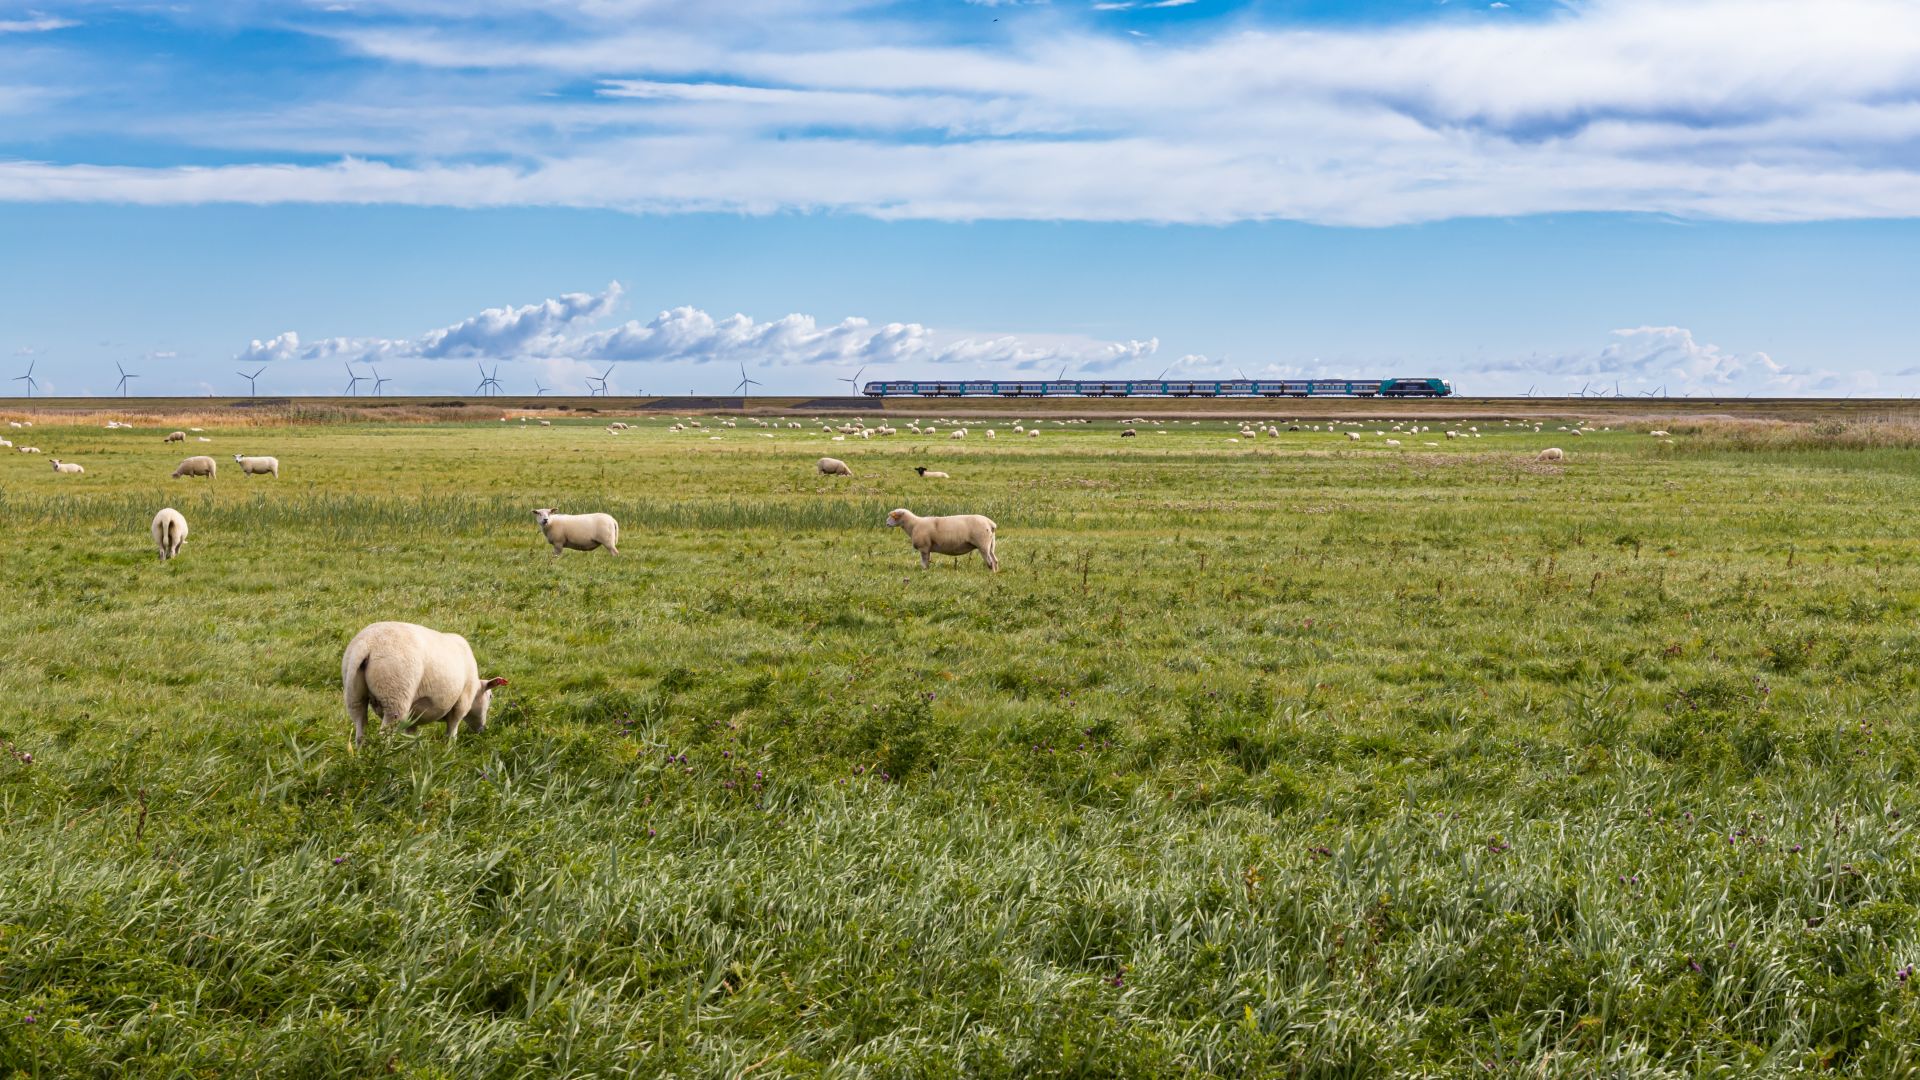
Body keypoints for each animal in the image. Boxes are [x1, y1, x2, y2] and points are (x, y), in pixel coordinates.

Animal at [343, 618, 510, 745]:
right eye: (490, 696)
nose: (482, 730)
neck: (475, 689)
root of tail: (368, 644)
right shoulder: (461, 704)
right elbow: (452, 732)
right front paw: (449, 752)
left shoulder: (413, 718)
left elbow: (411, 736)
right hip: (395, 695)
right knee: (384, 736)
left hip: (354, 694)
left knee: (360, 729)